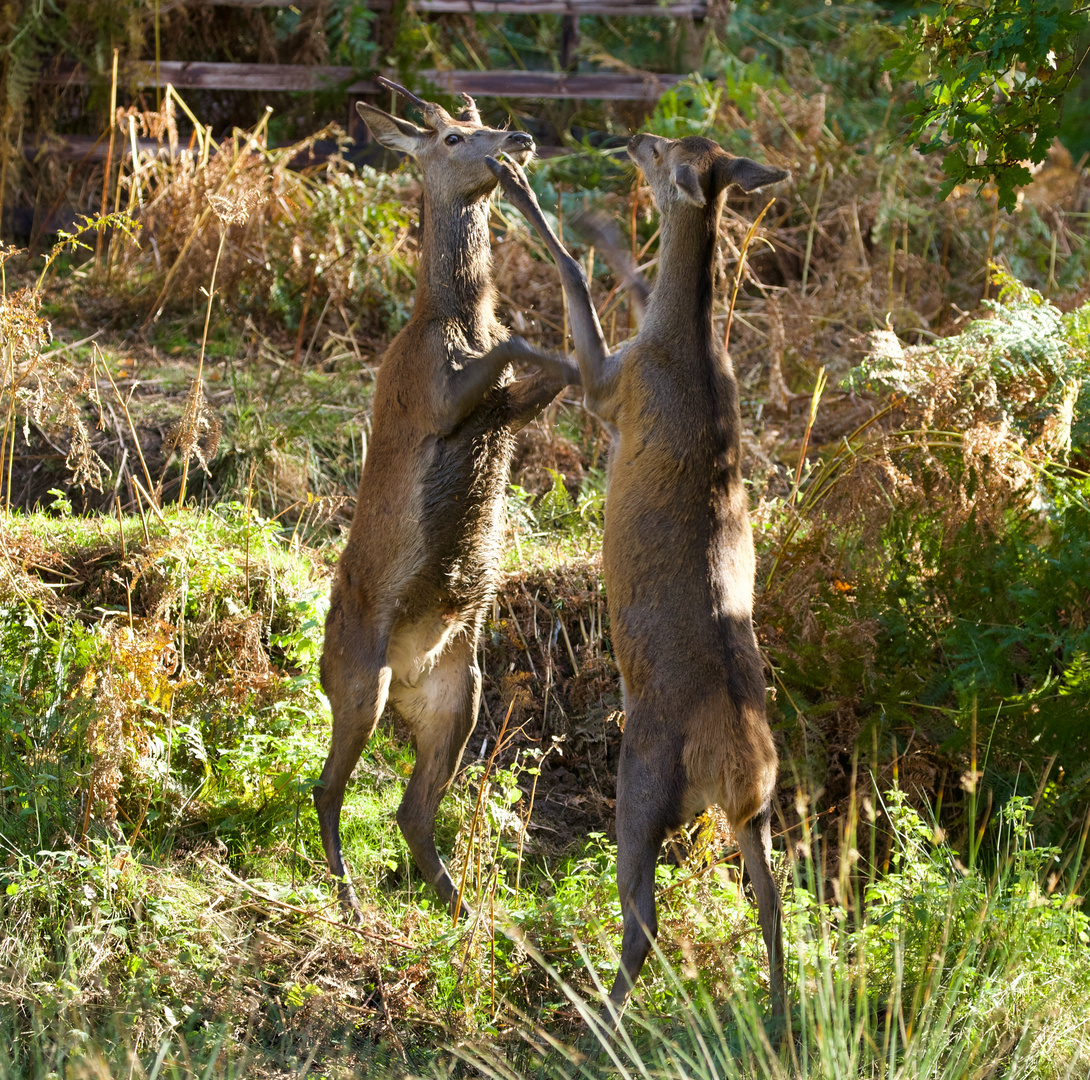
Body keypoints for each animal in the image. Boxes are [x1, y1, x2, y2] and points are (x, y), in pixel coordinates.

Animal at [316, 77, 579, 919]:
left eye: (484, 119)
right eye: (454, 138)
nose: (518, 140)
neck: (453, 320)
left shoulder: (509, 409)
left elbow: (553, 360)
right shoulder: (432, 394)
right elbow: (522, 344)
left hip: (458, 692)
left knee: (409, 808)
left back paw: (460, 906)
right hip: (359, 678)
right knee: (327, 789)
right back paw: (352, 901)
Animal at [481, 132, 789, 1011]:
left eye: (664, 153)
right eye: (692, 142)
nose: (635, 139)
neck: (686, 349)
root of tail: (740, 768)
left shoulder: (612, 389)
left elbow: (579, 297)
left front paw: (527, 193)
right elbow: (634, 277)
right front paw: (597, 224)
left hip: (645, 773)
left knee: (642, 911)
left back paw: (598, 1014)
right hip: (756, 815)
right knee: (774, 902)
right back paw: (781, 1012)